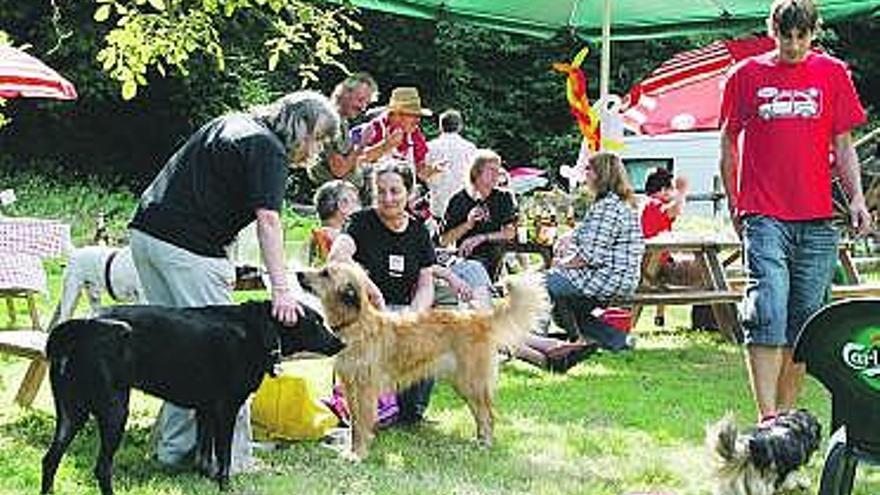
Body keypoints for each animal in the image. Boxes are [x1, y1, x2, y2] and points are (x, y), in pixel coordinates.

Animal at [41, 300, 344, 494]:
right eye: (317, 321)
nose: (341, 342)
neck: (260, 329)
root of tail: (79, 327)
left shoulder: (206, 409)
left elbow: (204, 455)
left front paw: (206, 478)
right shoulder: (227, 409)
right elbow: (224, 458)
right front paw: (225, 487)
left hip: (71, 413)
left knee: (50, 459)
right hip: (114, 411)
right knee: (102, 468)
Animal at [300, 264, 552, 462]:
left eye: (325, 273)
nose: (298, 273)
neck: (356, 324)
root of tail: (481, 318)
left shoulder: (365, 390)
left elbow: (361, 426)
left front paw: (358, 455)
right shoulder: (351, 388)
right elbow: (354, 426)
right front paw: (352, 451)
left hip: (472, 383)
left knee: (488, 415)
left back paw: (485, 445)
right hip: (465, 385)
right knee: (482, 416)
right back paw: (478, 441)